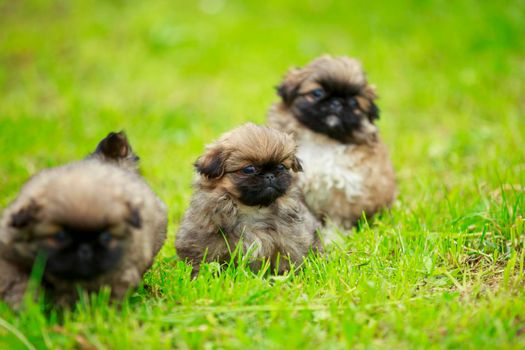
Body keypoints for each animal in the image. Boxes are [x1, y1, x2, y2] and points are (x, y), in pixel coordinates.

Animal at [175, 123, 320, 276]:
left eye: (281, 166)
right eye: (249, 169)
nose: (270, 175)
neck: (253, 209)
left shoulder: (289, 241)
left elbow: (287, 260)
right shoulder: (202, 238)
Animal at [268, 55, 396, 238]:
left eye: (353, 102)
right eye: (317, 93)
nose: (337, 103)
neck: (321, 141)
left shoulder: (342, 195)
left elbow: (337, 221)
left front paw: (333, 239)